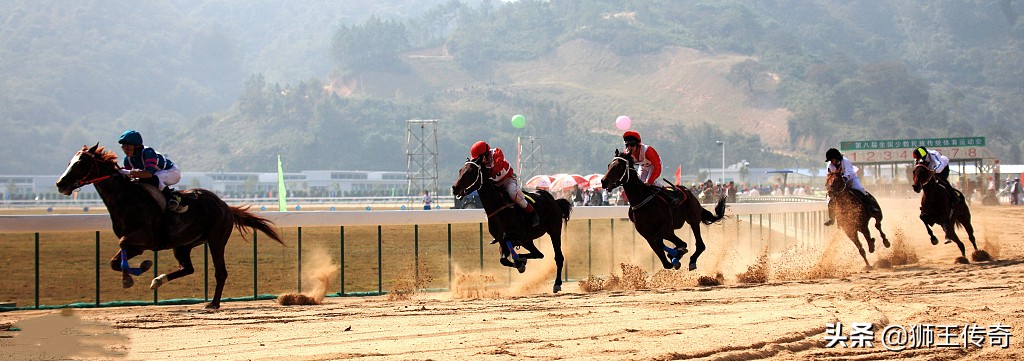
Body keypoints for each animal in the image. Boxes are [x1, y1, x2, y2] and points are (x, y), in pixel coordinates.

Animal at [56, 143, 284, 306]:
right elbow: (115, 260)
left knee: (220, 271)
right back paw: (159, 280)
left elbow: (122, 244)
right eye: (69, 161)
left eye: (80, 163)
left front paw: (135, 273)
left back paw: (213, 303)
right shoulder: (137, 246)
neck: (126, 200)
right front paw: (135, 273)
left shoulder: (145, 237)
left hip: (216, 239)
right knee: (188, 268)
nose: (60, 184)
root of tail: (225, 206)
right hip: (183, 244)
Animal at [450, 156, 573, 290]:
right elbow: (503, 260)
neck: (498, 206)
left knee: (558, 257)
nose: (455, 188)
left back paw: (557, 283)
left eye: (471, 172)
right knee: (538, 254)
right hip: (528, 241)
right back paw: (523, 259)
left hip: (554, 231)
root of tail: (554, 200)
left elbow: (508, 246)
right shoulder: (503, 241)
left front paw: (519, 262)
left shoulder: (516, 236)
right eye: (460, 170)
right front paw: (520, 263)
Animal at [598, 148, 729, 269]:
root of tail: (689, 192)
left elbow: (672, 244)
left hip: (693, 219)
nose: (604, 181)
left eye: (618, 166)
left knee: (700, 244)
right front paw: (674, 256)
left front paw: (677, 254)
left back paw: (691, 260)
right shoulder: (648, 235)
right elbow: (665, 259)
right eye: (609, 165)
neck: (643, 203)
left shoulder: (666, 230)